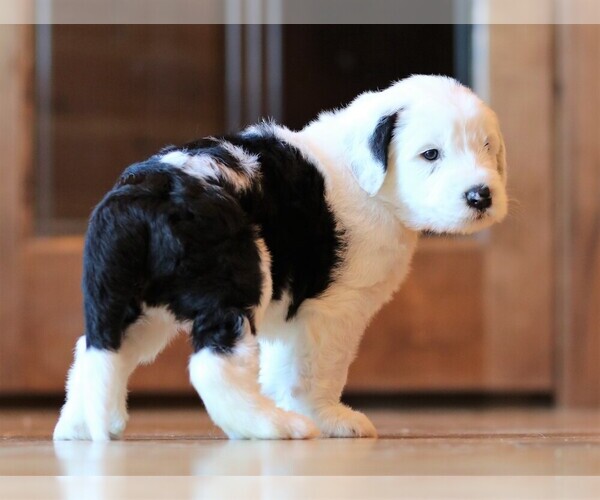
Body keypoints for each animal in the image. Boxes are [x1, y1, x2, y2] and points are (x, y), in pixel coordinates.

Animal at [55, 75, 506, 442]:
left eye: (487, 147)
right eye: (430, 154)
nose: (481, 195)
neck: (364, 179)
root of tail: (146, 195)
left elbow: (282, 368)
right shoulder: (332, 312)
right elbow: (315, 372)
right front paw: (328, 419)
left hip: (128, 300)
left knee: (98, 349)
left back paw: (81, 425)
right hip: (236, 280)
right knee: (214, 365)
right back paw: (270, 427)